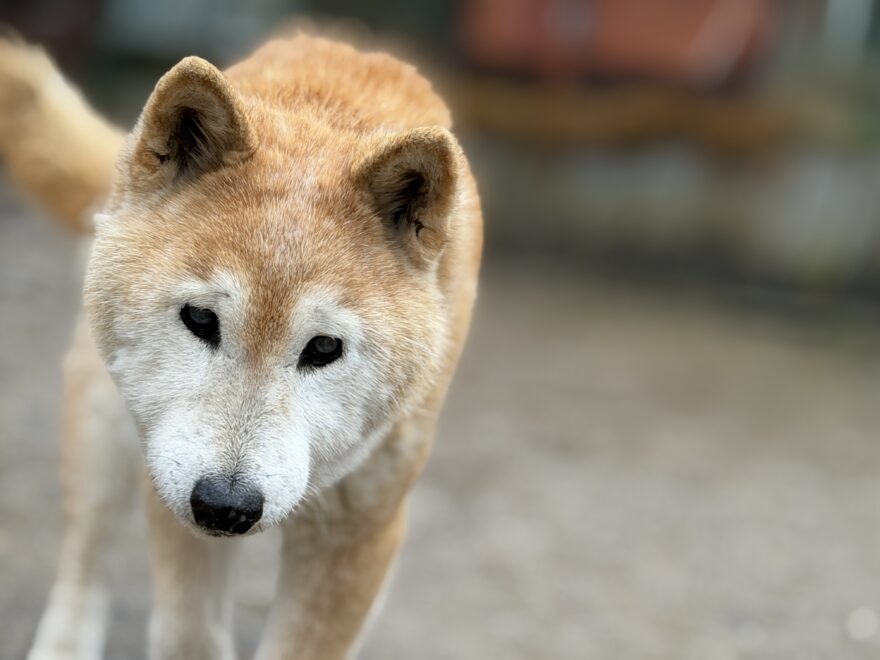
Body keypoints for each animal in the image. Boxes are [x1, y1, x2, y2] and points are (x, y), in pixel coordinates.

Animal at [0, 31, 482, 659]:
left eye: (323, 348)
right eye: (202, 319)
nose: (226, 506)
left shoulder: (359, 529)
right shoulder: (168, 477)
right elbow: (189, 633)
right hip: (104, 423)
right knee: (84, 562)